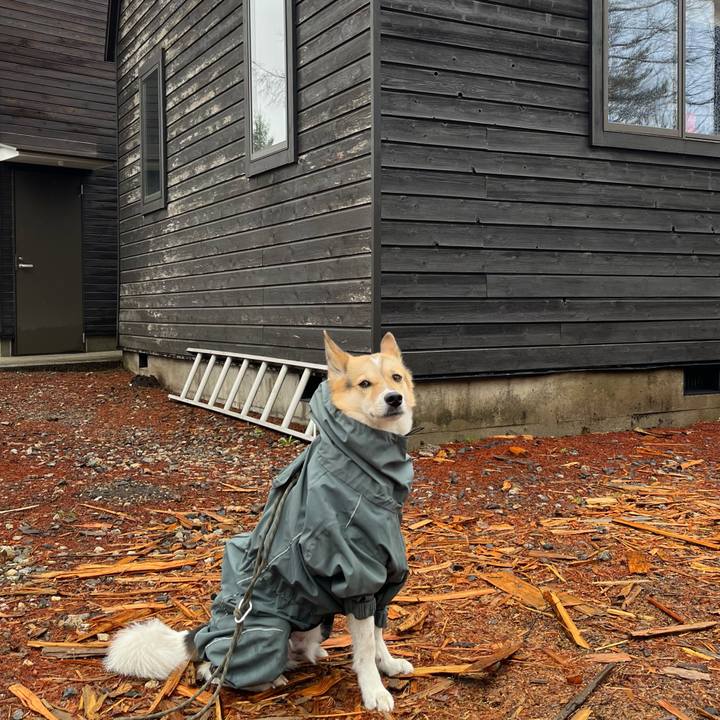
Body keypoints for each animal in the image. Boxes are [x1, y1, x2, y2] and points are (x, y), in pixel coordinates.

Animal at [105, 331, 416, 712]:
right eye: (365, 384)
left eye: (396, 378)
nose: (394, 398)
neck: (366, 465)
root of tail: (204, 631)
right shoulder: (357, 578)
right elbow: (367, 645)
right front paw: (374, 690)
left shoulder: (384, 577)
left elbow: (378, 633)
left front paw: (388, 665)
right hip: (267, 631)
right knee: (212, 668)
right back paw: (268, 678)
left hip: (311, 623)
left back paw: (308, 656)